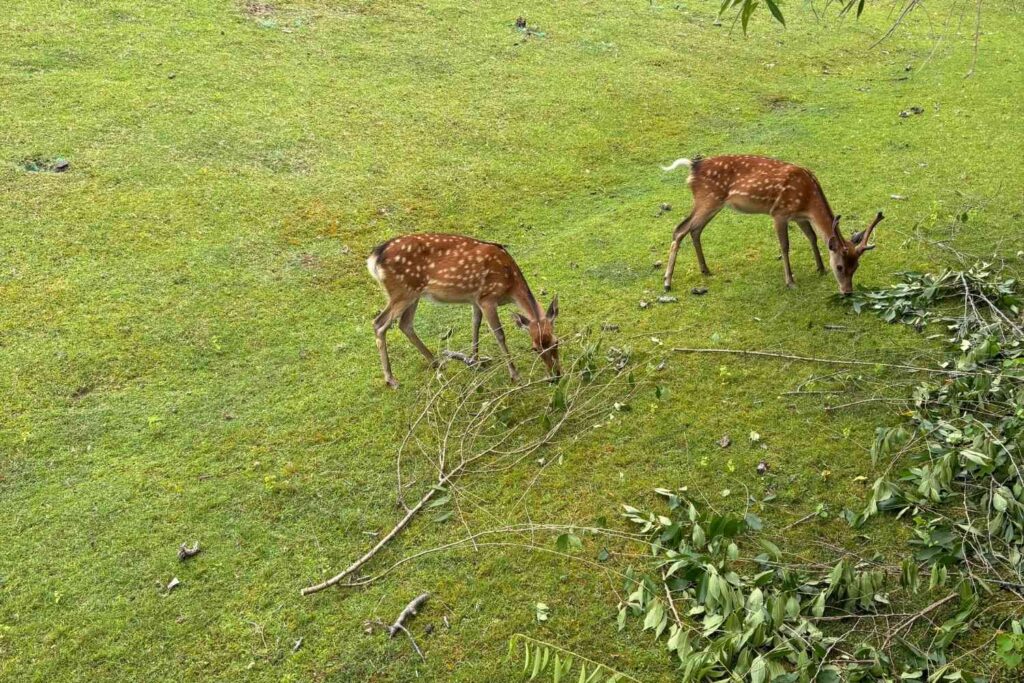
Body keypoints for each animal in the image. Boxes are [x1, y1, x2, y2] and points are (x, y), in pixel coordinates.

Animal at [366, 233, 561, 389]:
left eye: (556, 342)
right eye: (534, 348)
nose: (556, 376)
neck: (510, 284)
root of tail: (374, 257)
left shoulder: (476, 299)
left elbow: (475, 324)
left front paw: (475, 360)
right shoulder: (488, 298)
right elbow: (499, 334)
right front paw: (515, 375)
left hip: (413, 294)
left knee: (405, 324)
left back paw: (437, 363)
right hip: (402, 291)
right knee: (379, 324)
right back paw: (391, 379)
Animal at [659, 155, 884, 295]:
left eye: (856, 266)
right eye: (840, 266)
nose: (847, 292)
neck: (808, 199)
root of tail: (692, 167)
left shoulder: (799, 217)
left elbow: (812, 238)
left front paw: (820, 268)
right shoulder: (779, 213)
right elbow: (785, 246)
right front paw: (790, 281)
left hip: (712, 203)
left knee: (694, 230)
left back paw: (705, 270)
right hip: (708, 199)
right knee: (679, 230)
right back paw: (667, 282)